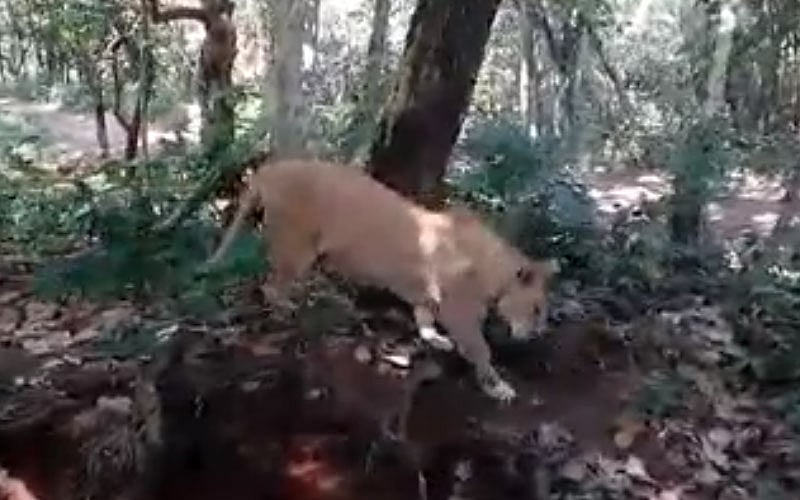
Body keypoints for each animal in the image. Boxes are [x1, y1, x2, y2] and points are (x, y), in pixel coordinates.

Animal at [206, 159, 558, 403]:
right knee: (270, 286)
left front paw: (434, 339)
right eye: (537, 309)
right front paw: (498, 387)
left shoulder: (426, 293)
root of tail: (271, 168)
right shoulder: (460, 313)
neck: (492, 268)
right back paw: (287, 310)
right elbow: (480, 350)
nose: (539, 334)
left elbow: (424, 316)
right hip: (296, 247)